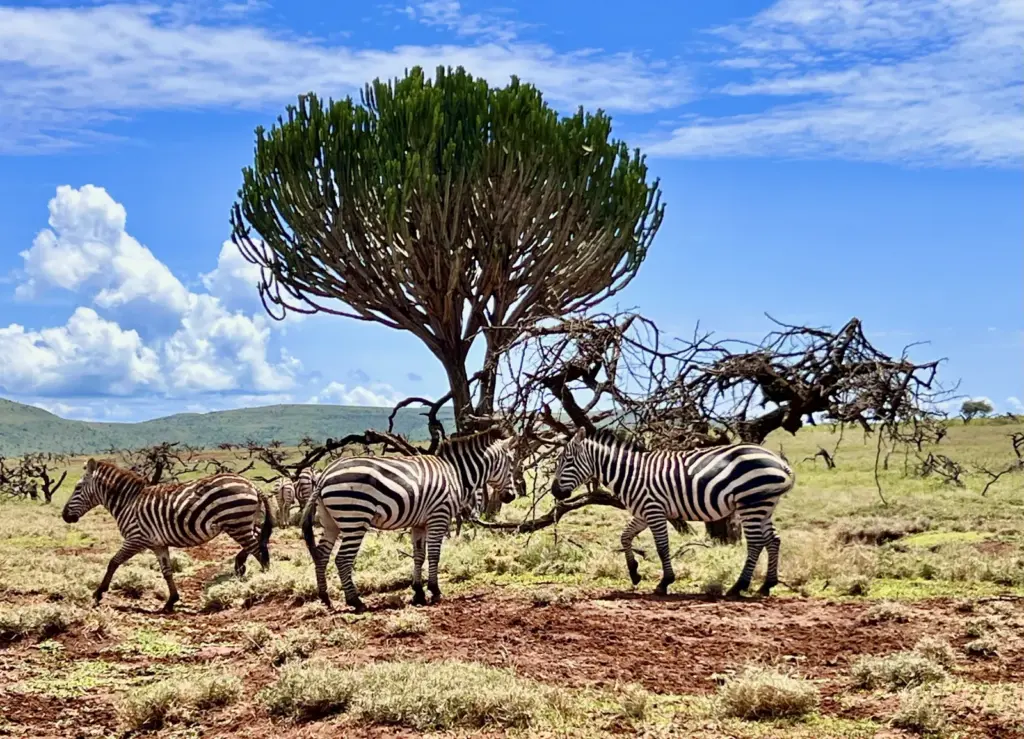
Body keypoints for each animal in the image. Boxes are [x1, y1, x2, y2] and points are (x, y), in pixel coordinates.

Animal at [61, 459, 272, 613]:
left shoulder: (136, 539)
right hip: (245, 523)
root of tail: (251, 484)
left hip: (236, 523)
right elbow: (167, 571)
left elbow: (113, 562)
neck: (128, 502)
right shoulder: (158, 544)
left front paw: (98, 593)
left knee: (259, 552)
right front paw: (171, 601)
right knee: (258, 547)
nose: (64, 515)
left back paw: (263, 586)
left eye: (77, 488)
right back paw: (242, 567)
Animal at [301, 428, 516, 612]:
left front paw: (418, 592)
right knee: (342, 559)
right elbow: (434, 555)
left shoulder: (419, 523)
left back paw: (325, 598)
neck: (455, 473)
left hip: (331, 522)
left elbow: (419, 555)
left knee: (322, 555)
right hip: (355, 519)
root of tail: (324, 476)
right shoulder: (439, 516)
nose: (511, 496)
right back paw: (356, 601)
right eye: (512, 465)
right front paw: (434, 591)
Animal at [551, 428, 795, 598]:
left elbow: (661, 547)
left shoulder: (654, 510)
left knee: (755, 543)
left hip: (751, 502)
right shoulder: (643, 512)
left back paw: (738, 587)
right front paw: (634, 573)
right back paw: (766, 586)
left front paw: (665, 582)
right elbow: (625, 537)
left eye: (567, 461)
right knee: (773, 540)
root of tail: (780, 462)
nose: (554, 491)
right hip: (764, 505)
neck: (630, 474)